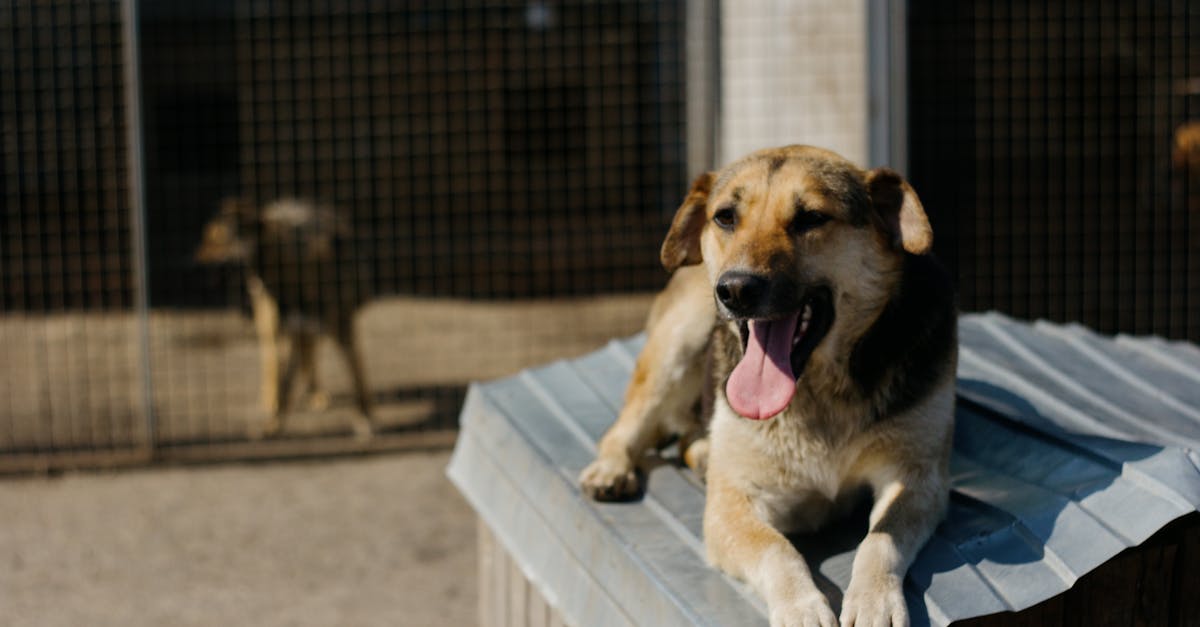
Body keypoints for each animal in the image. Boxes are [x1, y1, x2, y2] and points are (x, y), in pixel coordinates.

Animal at [194, 198, 372, 437]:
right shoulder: (289, 333)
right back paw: (270, 400)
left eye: (218, 240)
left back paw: (314, 393)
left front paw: (365, 417)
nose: (192, 266)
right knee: (272, 364)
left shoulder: (344, 331)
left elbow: (357, 375)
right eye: (206, 239)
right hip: (272, 328)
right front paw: (273, 423)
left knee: (309, 355)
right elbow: (284, 384)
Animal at [580, 145, 955, 624]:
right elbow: (776, 550)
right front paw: (802, 608)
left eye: (811, 218)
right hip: (680, 337)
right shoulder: (730, 508)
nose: (736, 289)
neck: (820, 393)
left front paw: (874, 600)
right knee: (626, 425)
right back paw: (612, 468)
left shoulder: (917, 478)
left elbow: (880, 541)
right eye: (725, 218)